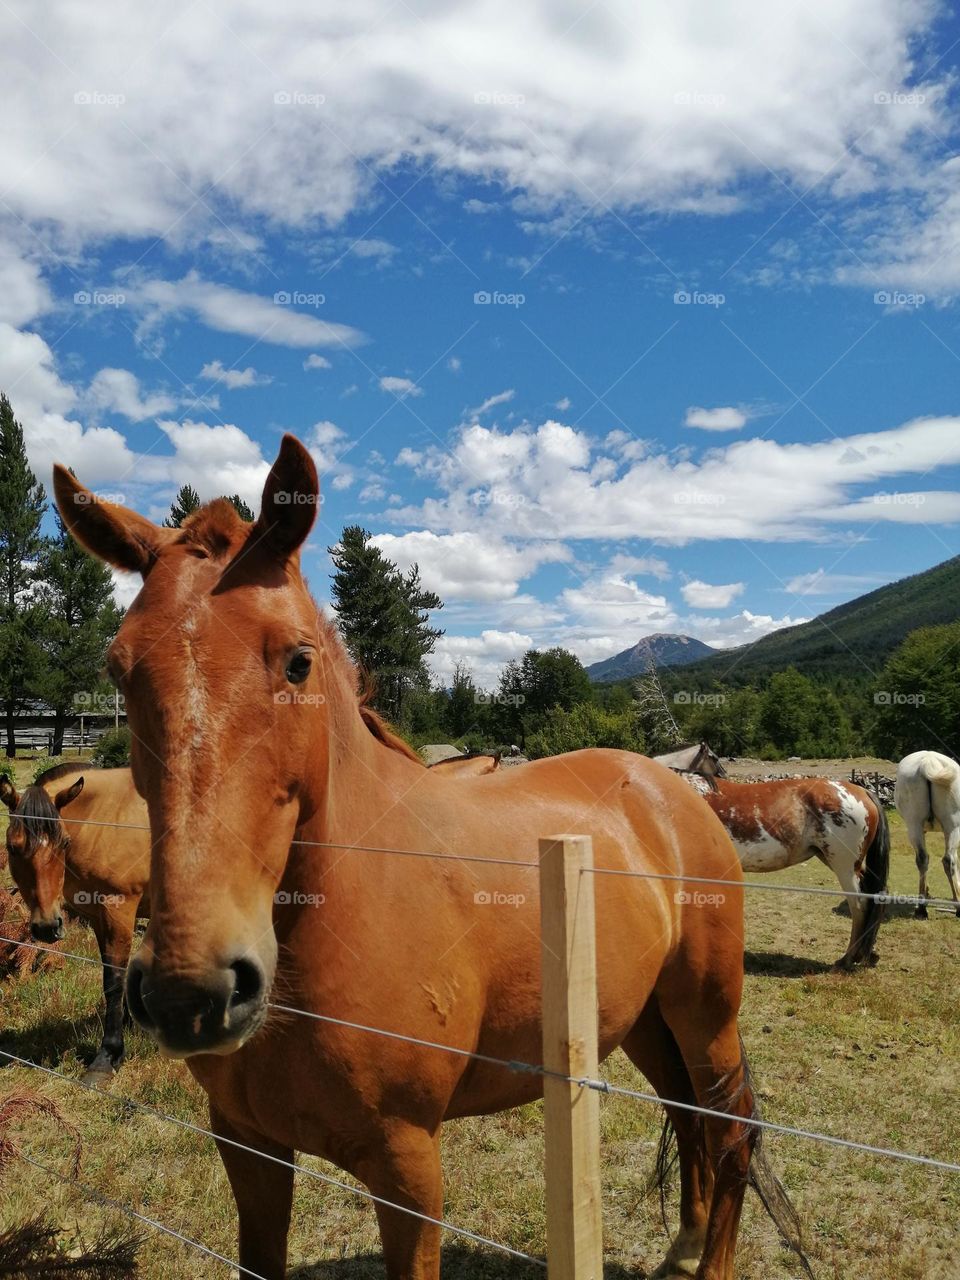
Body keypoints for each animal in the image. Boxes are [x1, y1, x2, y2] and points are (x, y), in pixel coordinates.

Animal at [0, 763, 150, 1081]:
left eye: (64, 843)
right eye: (12, 847)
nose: (47, 926)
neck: (105, 821)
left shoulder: (119, 911)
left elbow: (114, 980)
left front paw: (108, 1056)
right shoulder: (97, 917)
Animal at [53, 435, 805, 1280]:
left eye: (298, 662)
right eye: (119, 669)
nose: (193, 988)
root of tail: (674, 787)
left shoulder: (408, 1168)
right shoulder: (247, 1146)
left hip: (706, 1013)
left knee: (731, 1129)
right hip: (644, 1017)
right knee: (688, 1115)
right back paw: (685, 1244)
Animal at [895, 750, 960, 918]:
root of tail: (927, 762)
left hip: (916, 826)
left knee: (924, 859)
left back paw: (922, 907)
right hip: (952, 827)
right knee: (948, 860)